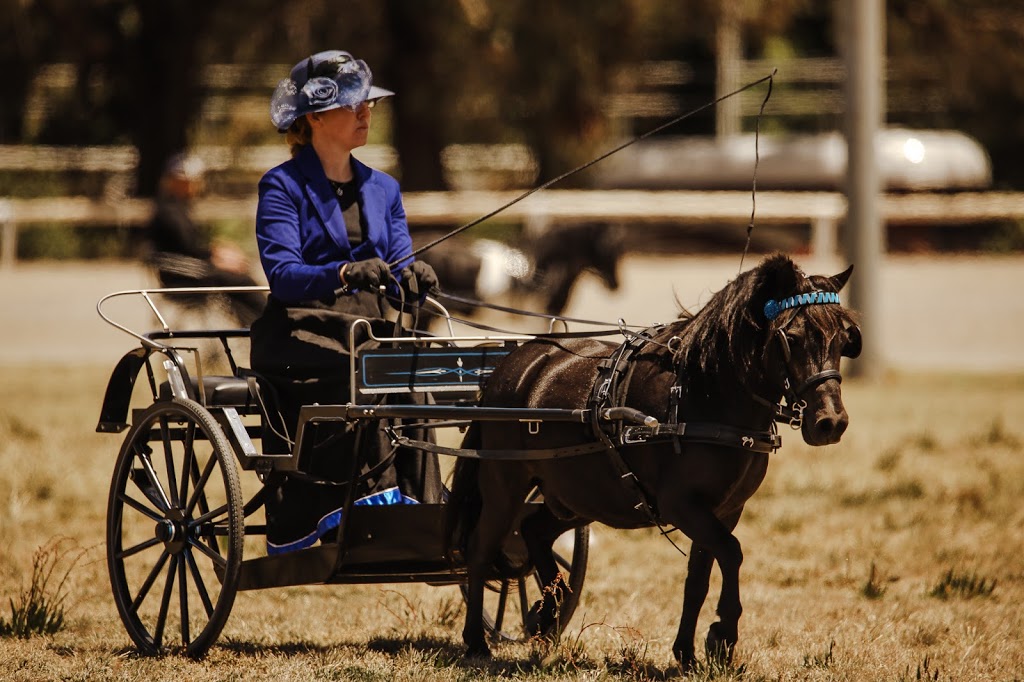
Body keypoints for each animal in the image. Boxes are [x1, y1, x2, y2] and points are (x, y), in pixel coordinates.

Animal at [448, 251, 864, 667]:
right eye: (791, 338)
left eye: (845, 339)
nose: (831, 422)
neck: (704, 394)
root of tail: (511, 366)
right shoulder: (681, 504)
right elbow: (731, 552)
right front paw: (722, 635)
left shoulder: (726, 508)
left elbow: (699, 577)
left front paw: (687, 652)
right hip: (505, 482)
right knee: (481, 548)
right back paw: (477, 640)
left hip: (580, 495)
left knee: (534, 529)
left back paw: (547, 613)